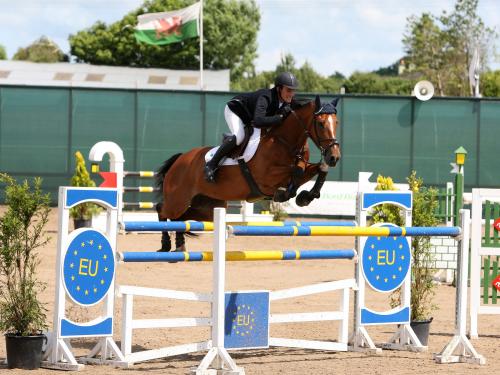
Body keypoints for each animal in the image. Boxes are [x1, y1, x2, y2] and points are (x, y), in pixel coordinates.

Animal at [156, 95, 342, 251]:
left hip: (209, 205)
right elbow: (296, 171)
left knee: (181, 217)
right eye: (320, 123)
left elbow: (317, 169)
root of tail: (180, 159)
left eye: (337, 122)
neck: (284, 141)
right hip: (178, 200)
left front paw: (306, 197)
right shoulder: (264, 178)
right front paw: (285, 194)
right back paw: (166, 245)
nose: (334, 157)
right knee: (163, 210)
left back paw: (180, 246)